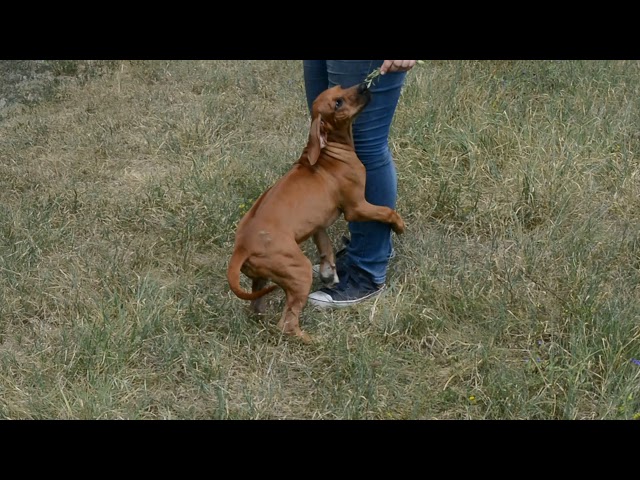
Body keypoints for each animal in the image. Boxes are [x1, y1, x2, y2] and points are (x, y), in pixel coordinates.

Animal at [226, 83, 404, 344]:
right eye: (338, 103)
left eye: (340, 87)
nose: (364, 85)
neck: (329, 150)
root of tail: (241, 247)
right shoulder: (357, 207)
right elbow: (386, 211)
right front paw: (399, 225)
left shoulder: (318, 225)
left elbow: (325, 245)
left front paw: (329, 272)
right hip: (298, 271)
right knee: (287, 323)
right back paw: (314, 341)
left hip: (262, 277)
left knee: (257, 308)